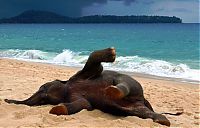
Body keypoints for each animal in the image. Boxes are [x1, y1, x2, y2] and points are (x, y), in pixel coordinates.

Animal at [4, 47, 170, 126]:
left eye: (43, 86)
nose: (6, 100)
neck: (67, 86)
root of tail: (144, 99)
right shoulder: (74, 95)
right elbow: (85, 104)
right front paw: (58, 109)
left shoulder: (82, 75)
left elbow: (95, 64)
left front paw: (111, 53)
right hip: (133, 106)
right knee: (141, 112)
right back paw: (162, 121)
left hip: (131, 83)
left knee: (122, 82)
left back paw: (112, 90)